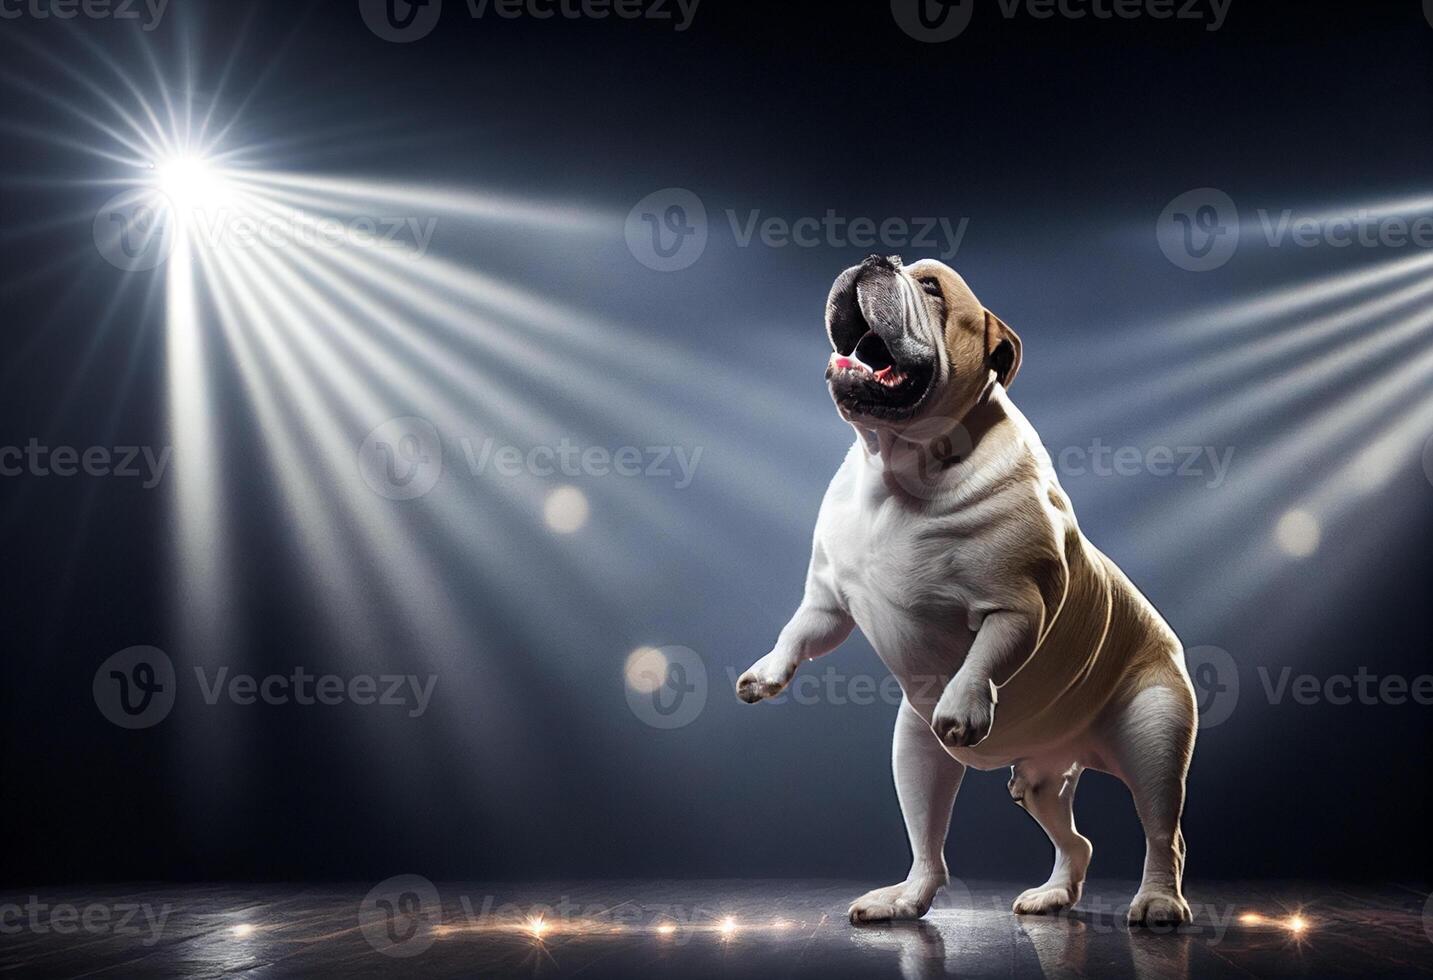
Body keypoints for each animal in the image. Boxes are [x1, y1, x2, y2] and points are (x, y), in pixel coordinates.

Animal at [739, 252, 1197, 928]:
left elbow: (986, 653)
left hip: (1152, 733)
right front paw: (767, 672)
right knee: (998, 836)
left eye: (930, 288)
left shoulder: (1017, 604)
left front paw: (963, 704)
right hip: (969, 762)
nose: (875, 259)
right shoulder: (827, 600)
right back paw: (936, 898)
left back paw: (1159, 900)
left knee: (1162, 827)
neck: (898, 466)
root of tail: (1076, 750)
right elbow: (800, 630)